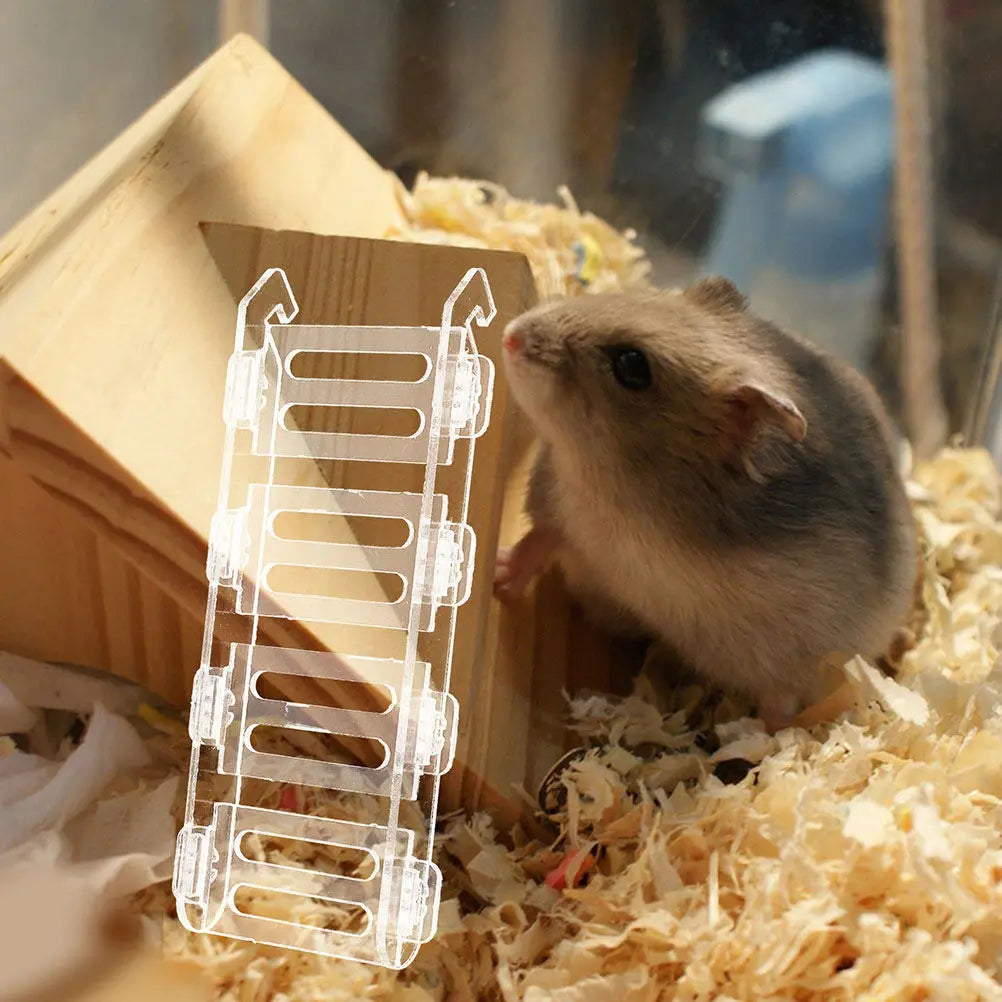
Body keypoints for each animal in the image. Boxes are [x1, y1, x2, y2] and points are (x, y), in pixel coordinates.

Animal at [494, 277, 917, 729]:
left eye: (632, 366)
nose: (511, 335)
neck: (628, 499)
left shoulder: (801, 651)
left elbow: (781, 700)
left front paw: (770, 738)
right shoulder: (562, 508)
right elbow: (539, 540)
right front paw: (497, 578)